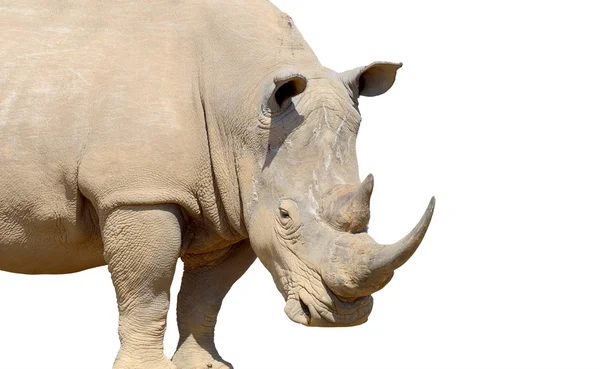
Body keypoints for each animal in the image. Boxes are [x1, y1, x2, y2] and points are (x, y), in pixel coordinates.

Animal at [0, 0, 432, 368]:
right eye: (285, 217)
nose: (344, 316)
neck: (243, 104)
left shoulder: (234, 203)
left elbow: (205, 294)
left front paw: (205, 365)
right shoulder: (139, 194)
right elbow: (147, 290)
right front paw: (148, 368)